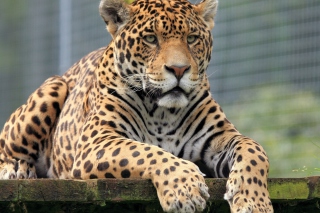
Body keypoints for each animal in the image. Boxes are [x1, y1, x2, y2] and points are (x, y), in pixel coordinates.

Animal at [0, 0, 272, 212]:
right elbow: (145, 151)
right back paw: (17, 168)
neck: (163, 112)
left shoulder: (219, 138)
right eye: (151, 39)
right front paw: (185, 189)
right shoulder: (96, 141)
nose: (179, 69)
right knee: (7, 147)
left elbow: (254, 150)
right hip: (53, 88)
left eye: (192, 38)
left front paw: (254, 202)